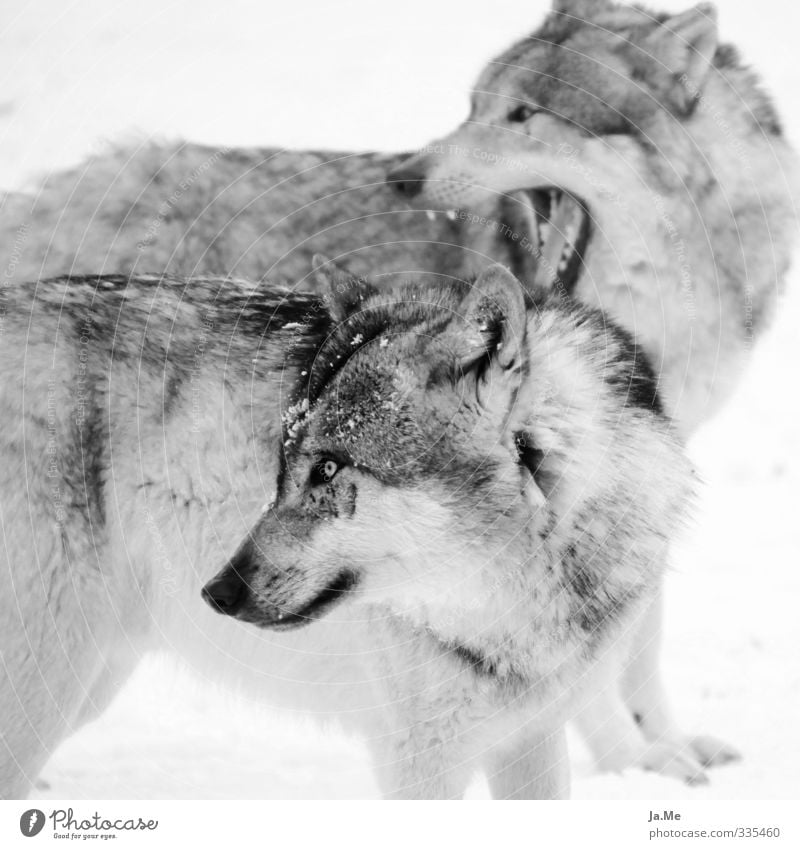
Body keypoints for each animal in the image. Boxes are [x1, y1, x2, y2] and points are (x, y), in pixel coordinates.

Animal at [386, 0, 792, 780]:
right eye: (473, 107)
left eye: (523, 114)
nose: (401, 176)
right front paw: (633, 760)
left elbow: (640, 639)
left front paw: (662, 743)